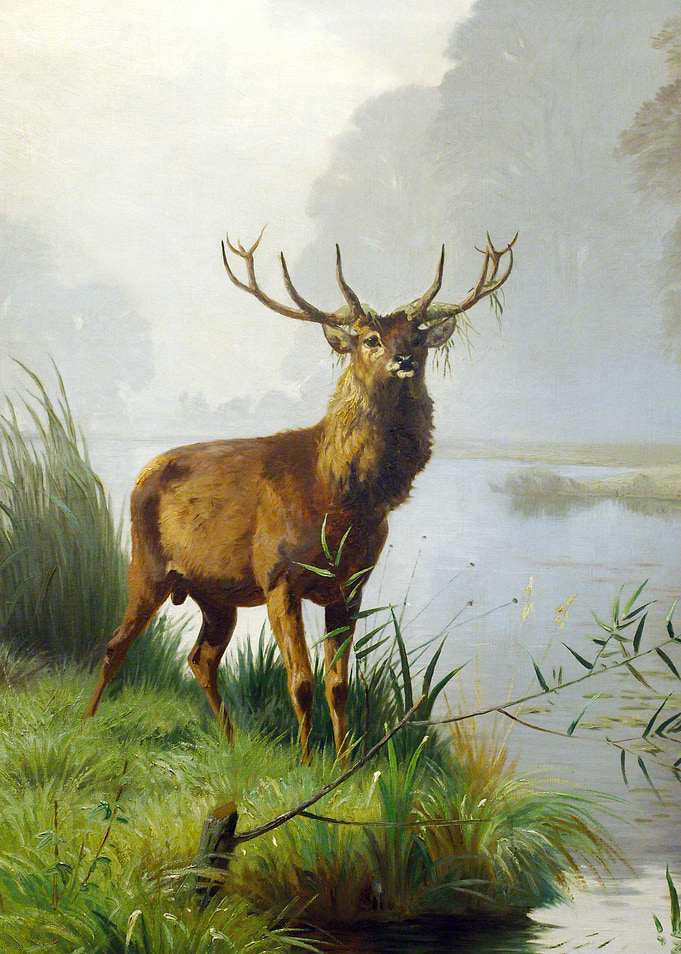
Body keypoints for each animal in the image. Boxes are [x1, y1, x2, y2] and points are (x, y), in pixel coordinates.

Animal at [85, 229, 516, 763]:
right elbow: (300, 681)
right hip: (147, 565)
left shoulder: (352, 585)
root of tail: (141, 476)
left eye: (417, 336)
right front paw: (308, 764)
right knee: (115, 644)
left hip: (215, 595)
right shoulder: (279, 574)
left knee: (200, 658)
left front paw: (345, 760)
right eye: (369, 339)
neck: (341, 496)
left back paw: (230, 741)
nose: (404, 360)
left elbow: (338, 684)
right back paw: (87, 722)